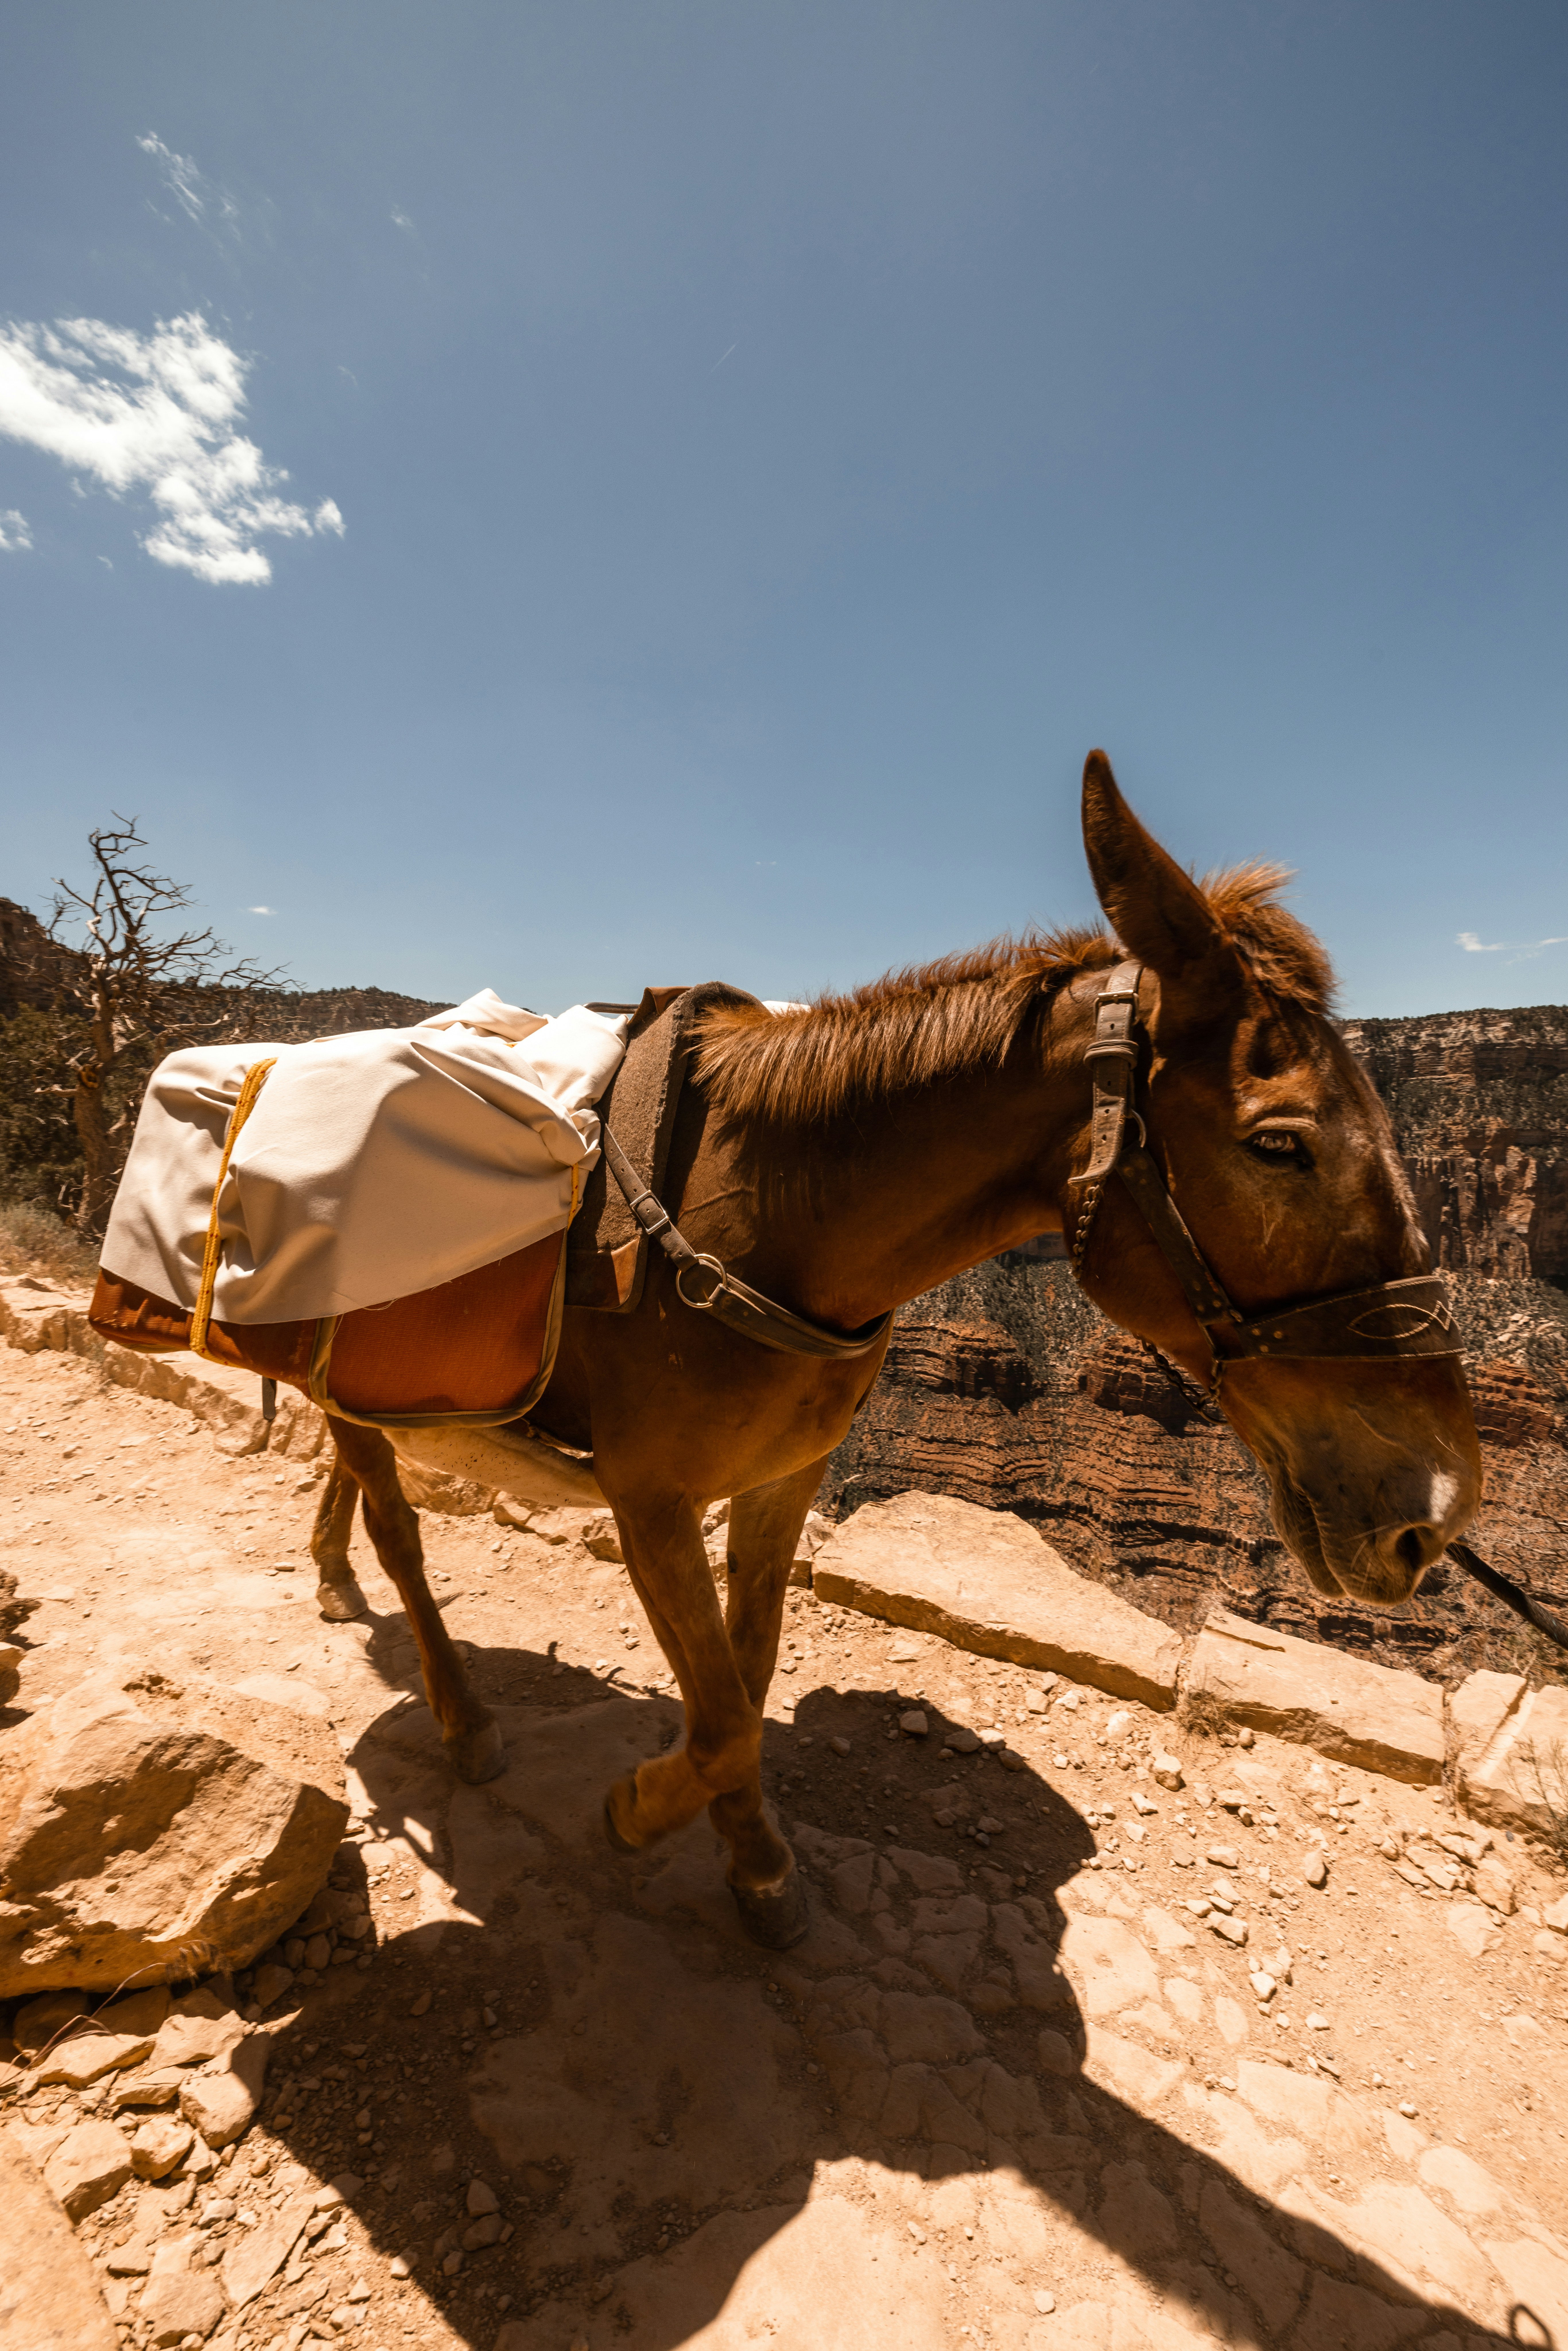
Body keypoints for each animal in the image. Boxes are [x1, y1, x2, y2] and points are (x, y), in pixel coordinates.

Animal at [307, 751, 1482, 1948]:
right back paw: (459, 1714)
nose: (1435, 1506)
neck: (761, 1218)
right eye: (1278, 1143)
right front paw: (648, 1811)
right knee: (399, 1532)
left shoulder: (783, 1476)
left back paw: (331, 1576)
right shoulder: (649, 1500)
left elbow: (746, 1683)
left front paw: (750, 1857)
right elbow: (722, 1716)